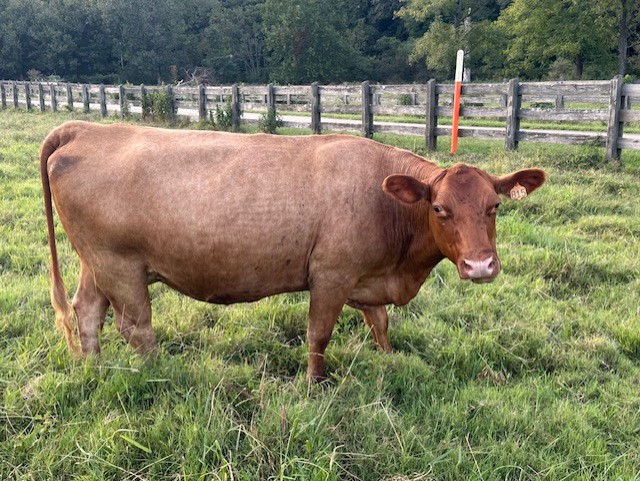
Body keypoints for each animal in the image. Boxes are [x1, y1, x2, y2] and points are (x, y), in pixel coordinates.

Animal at [40, 121, 546, 381]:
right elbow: (319, 335)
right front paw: (316, 385)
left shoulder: (367, 278)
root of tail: (86, 128)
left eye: (494, 206)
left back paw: (92, 368)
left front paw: (388, 359)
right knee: (137, 328)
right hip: (119, 265)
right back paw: (162, 376)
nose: (480, 265)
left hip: (96, 263)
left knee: (88, 311)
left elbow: (380, 323)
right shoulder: (332, 276)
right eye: (440, 209)